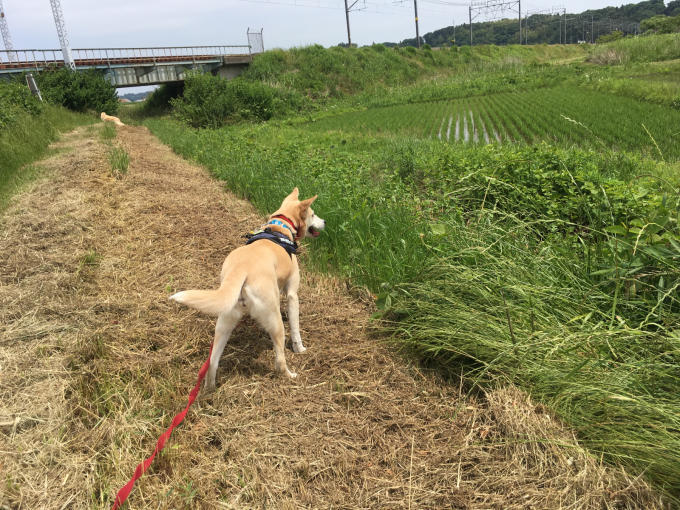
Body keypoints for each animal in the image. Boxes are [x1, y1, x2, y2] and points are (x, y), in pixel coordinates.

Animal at [169, 189, 324, 388]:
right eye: (313, 214)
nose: (325, 222)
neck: (281, 229)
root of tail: (240, 269)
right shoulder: (292, 294)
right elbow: (296, 327)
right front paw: (300, 348)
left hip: (224, 322)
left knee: (213, 363)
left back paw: (210, 389)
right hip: (275, 320)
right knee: (279, 360)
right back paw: (291, 375)